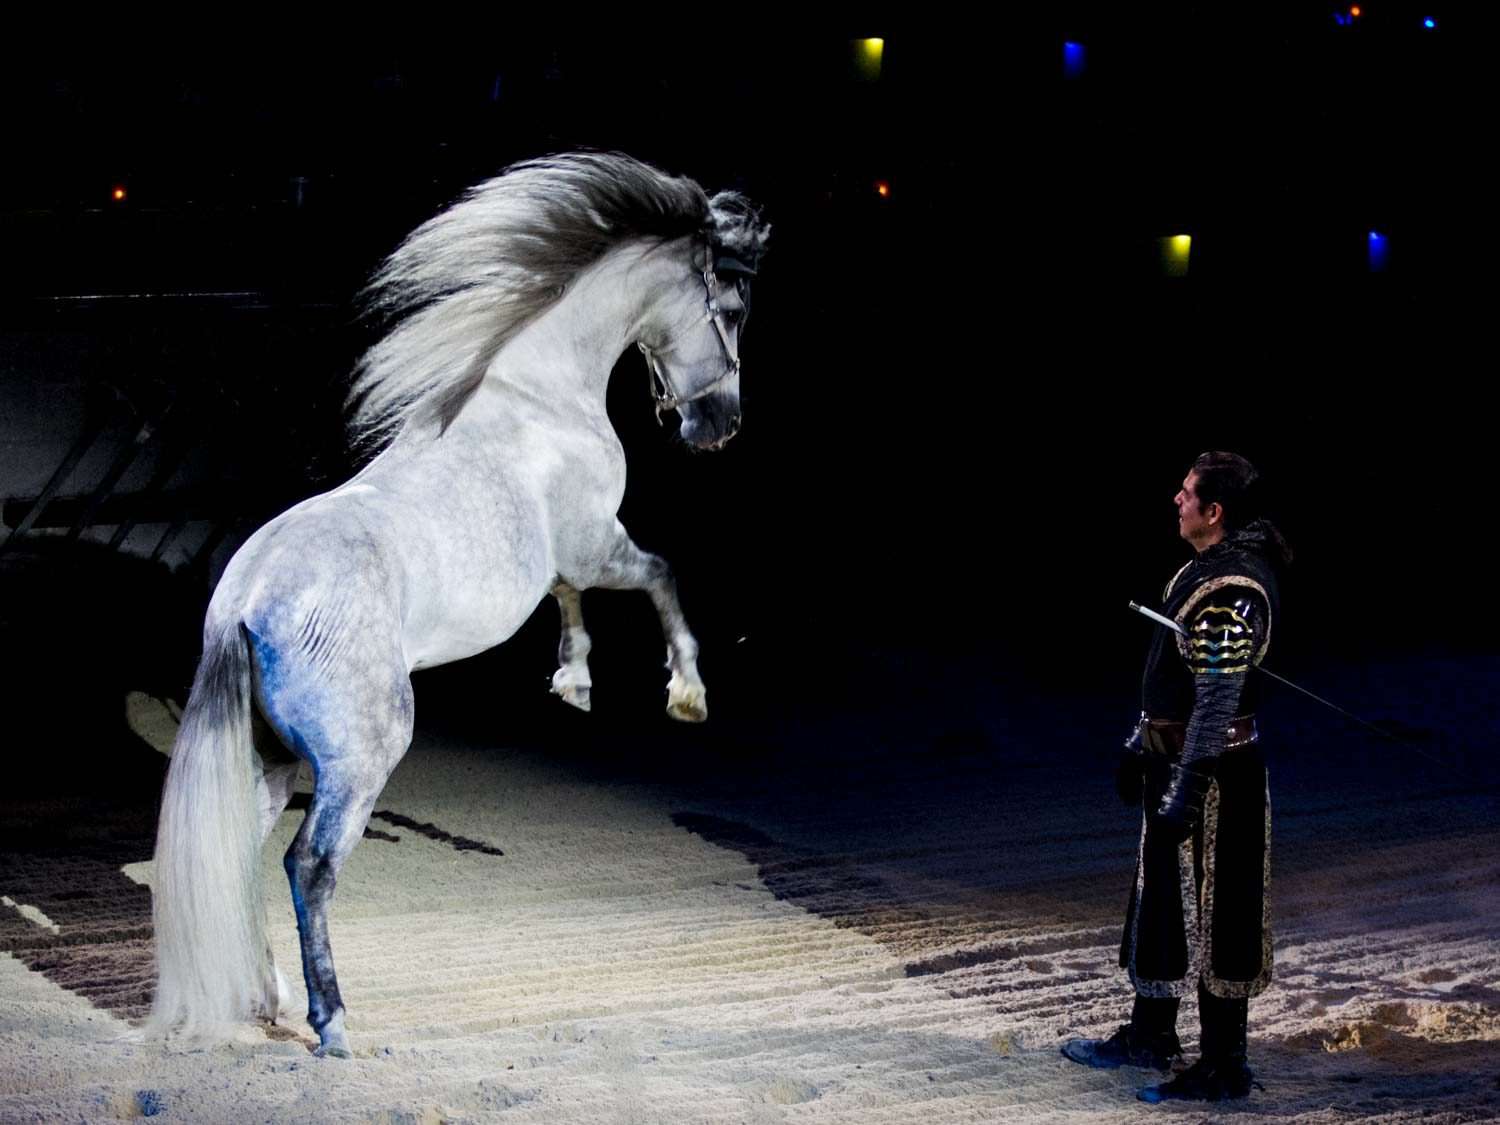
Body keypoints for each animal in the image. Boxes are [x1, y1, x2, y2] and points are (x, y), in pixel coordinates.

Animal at [146, 154, 768, 1062]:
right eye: (732, 309)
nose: (718, 425)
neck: (539, 394)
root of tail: (247, 601)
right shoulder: (597, 542)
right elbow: (663, 576)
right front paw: (687, 692)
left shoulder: (563, 562)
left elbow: (570, 598)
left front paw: (573, 682)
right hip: (360, 758)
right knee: (309, 866)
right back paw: (332, 1022)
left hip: (270, 756)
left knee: (240, 853)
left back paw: (267, 995)